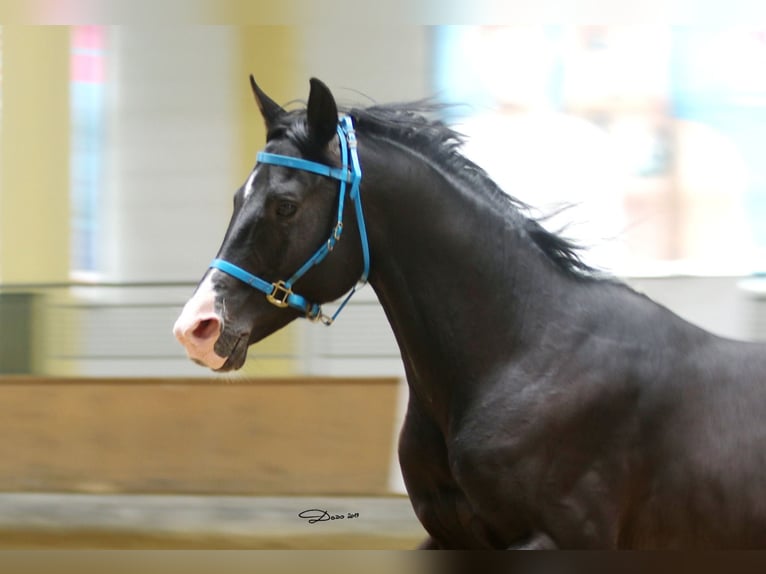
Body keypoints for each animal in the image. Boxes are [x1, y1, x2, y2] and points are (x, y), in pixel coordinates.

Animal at [174, 79, 766, 552]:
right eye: (237, 197)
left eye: (286, 205)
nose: (197, 328)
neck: (520, 357)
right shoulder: (448, 537)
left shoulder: (562, 540)